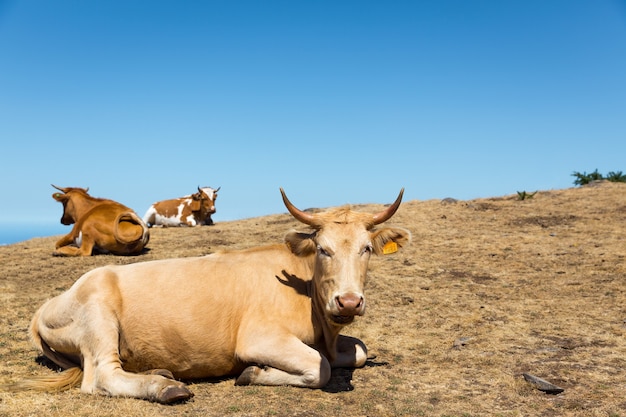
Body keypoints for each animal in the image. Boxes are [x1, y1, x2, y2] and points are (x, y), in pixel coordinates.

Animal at [13, 188, 410, 404]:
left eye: (366, 249)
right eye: (323, 249)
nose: (348, 301)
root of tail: (47, 306)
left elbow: (359, 351)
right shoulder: (259, 338)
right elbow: (321, 367)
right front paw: (253, 373)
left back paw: (160, 371)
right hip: (99, 315)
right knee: (101, 378)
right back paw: (165, 388)